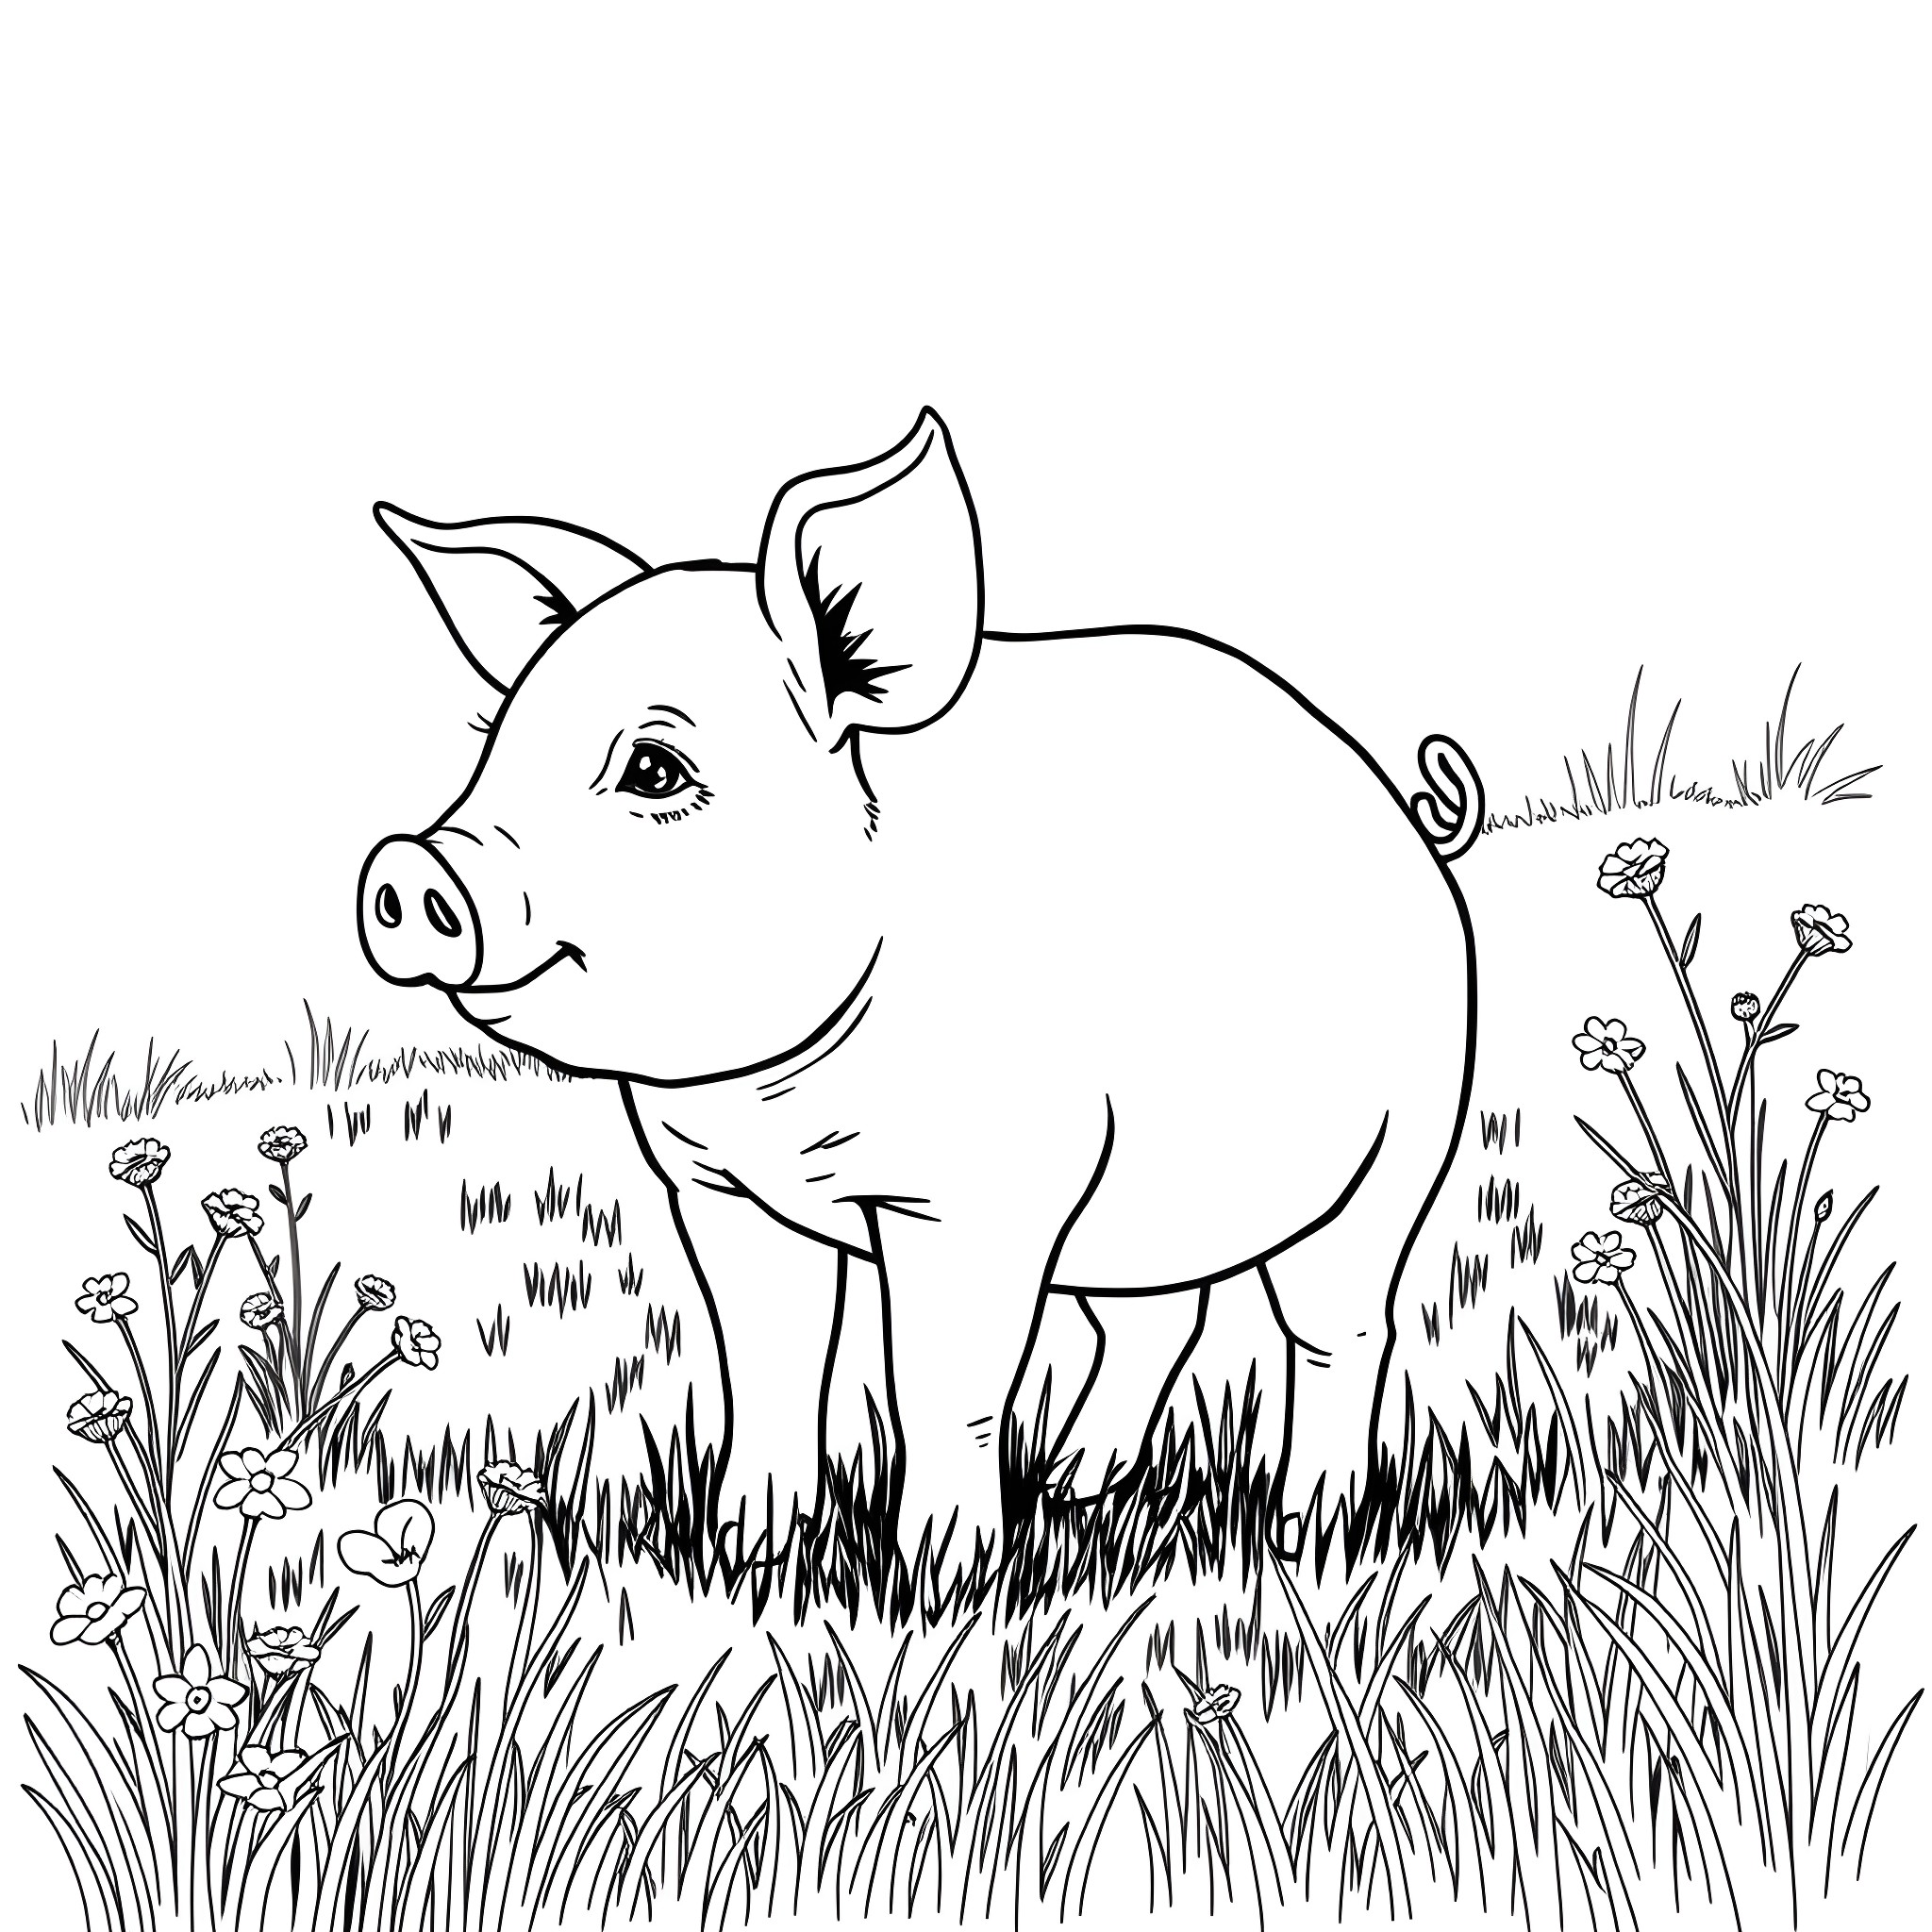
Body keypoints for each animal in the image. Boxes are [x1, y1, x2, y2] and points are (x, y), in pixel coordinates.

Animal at [358, 411, 1480, 1570]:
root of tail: (1407, 820)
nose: (408, 866)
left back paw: (1309, 1532)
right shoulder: (715, 1187)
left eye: (655, 769)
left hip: (1397, 1149)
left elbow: (940, 1388)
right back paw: (1075, 1485)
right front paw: (745, 1552)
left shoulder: (981, 1190)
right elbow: (767, 1362)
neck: (777, 1105)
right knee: (1159, 1316)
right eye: (496, 744)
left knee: (1341, 1328)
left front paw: (942, 1577)